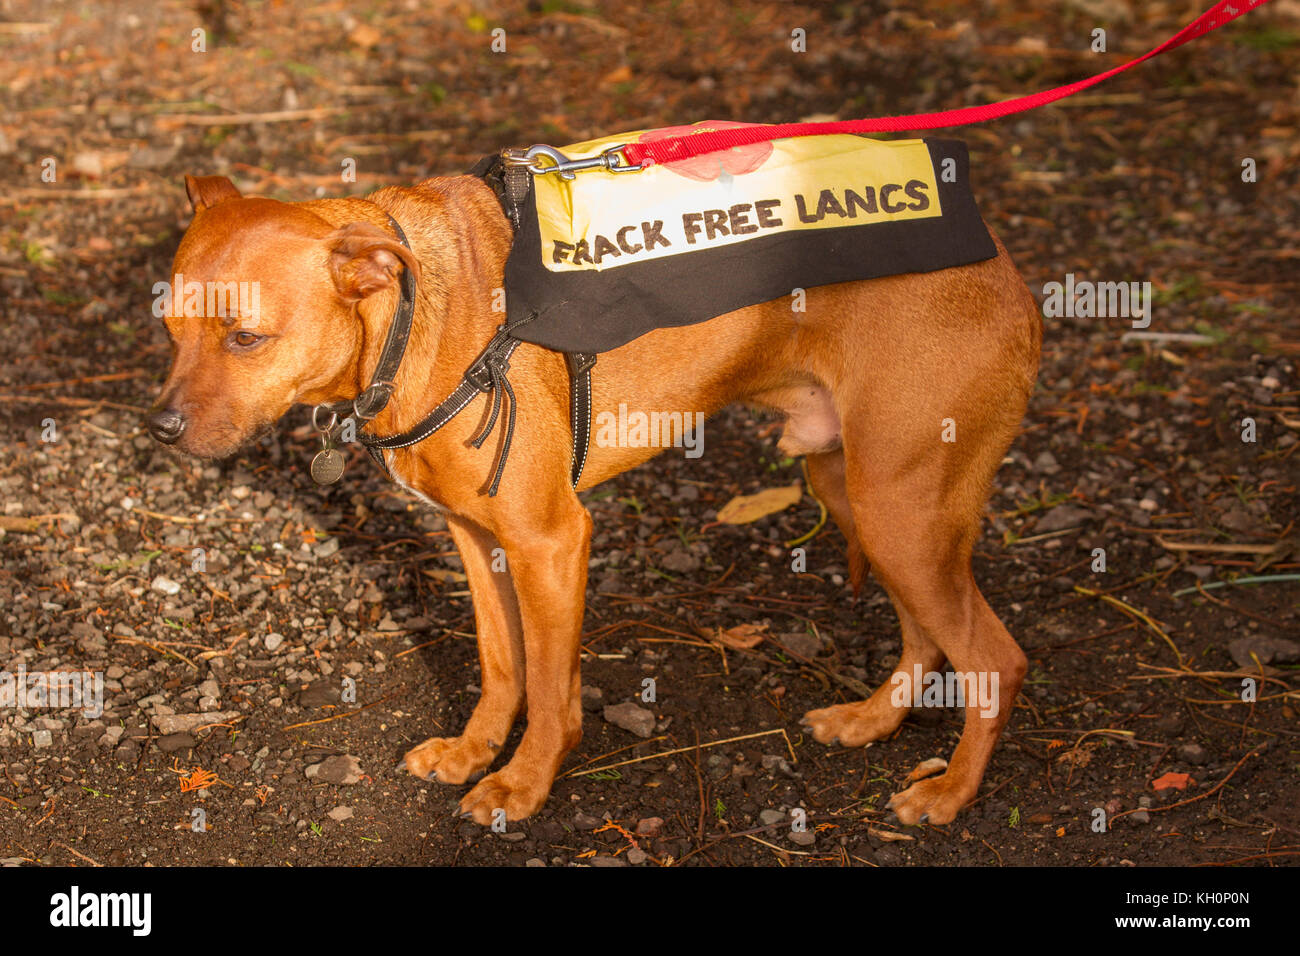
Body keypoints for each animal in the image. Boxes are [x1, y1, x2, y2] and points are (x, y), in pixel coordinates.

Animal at [152, 170, 1040, 822]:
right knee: (928, 636)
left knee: (997, 659)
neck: (406, 323)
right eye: (170, 332)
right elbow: (502, 664)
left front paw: (522, 784)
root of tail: (1009, 273)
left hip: (900, 510)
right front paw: (474, 752)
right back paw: (870, 721)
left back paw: (950, 794)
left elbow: (549, 690)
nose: (158, 427)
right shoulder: (478, 539)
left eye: (246, 337)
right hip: (859, 494)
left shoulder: (551, 541)